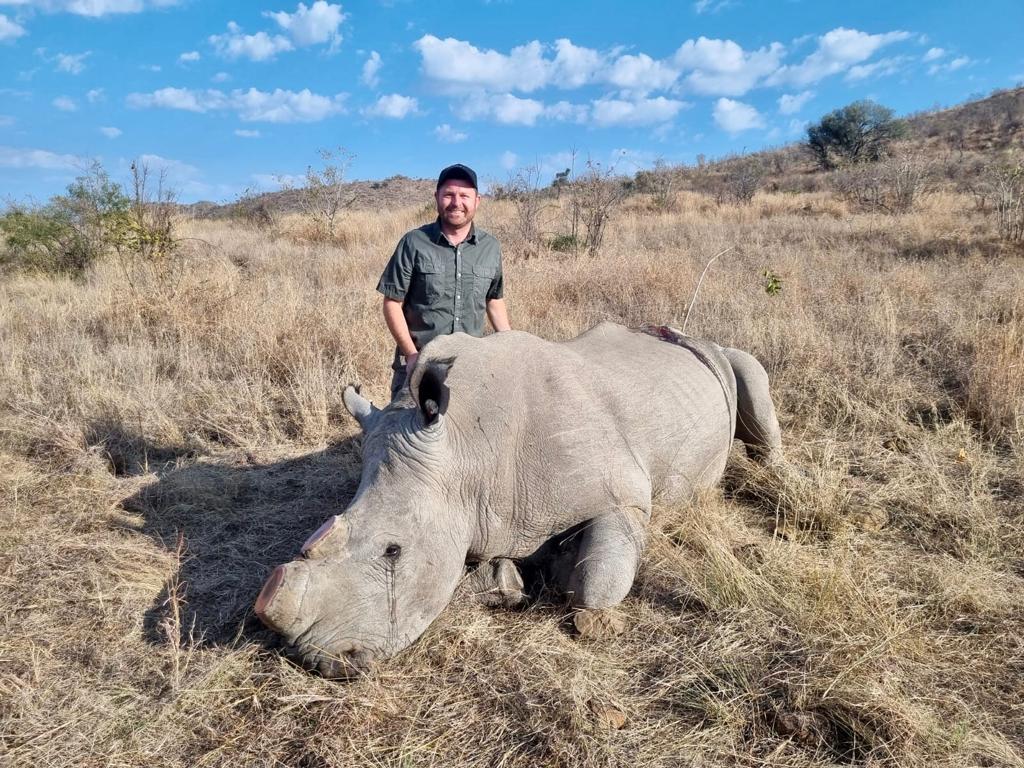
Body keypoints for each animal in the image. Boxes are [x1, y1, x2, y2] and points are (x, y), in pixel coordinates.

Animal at [255, 322, 783, 677]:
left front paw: (570, 585)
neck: (467, 450)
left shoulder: (626, 496)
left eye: (393, 551)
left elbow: (594, 584)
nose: (316, 658)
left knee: (754, 380)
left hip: (727, 356)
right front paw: (507, 578)